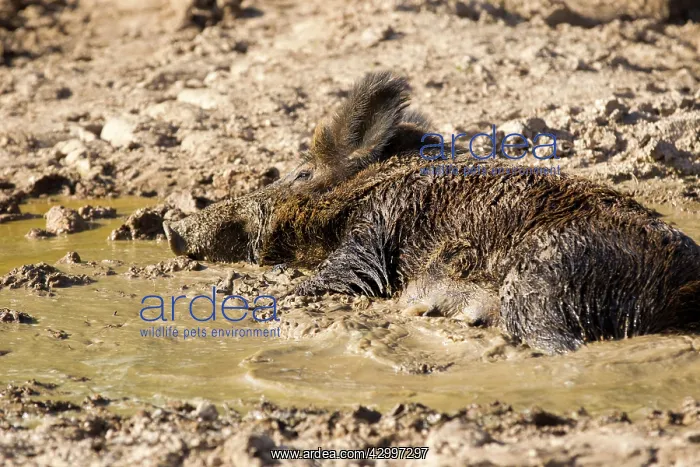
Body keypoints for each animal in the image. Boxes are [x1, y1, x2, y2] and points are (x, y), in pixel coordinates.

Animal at [163, 71, 700, 354]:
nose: (174, 225)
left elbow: (338, 273)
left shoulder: (372, 231)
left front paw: (284, 294)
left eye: (300, 173)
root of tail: (684, 283)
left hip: (549, 275)